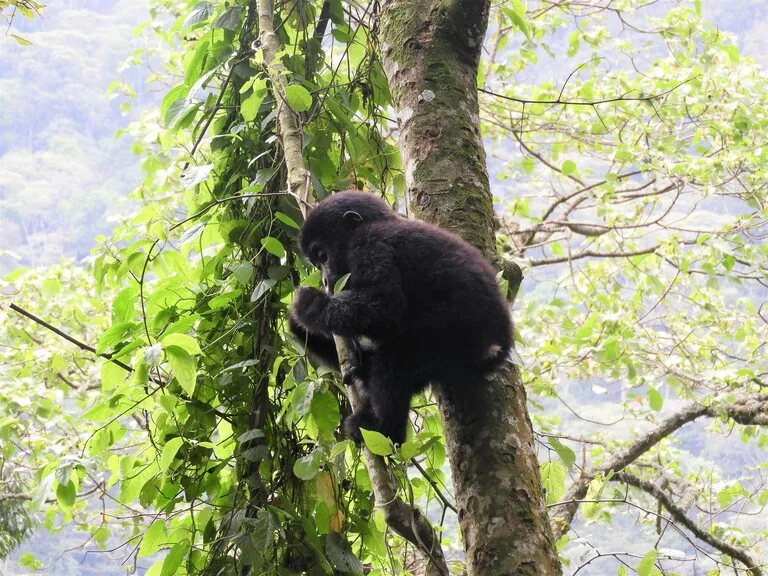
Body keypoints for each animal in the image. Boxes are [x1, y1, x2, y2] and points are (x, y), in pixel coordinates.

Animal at [288, 191, 510, 444]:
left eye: (323, 256)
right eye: (317, 262)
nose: (325, 280)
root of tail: (499, 345)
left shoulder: (370, 245)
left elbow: (386, 308)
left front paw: (309, 305)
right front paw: (299, 323)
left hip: (456, 334)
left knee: (396, 353)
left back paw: (383, 428)